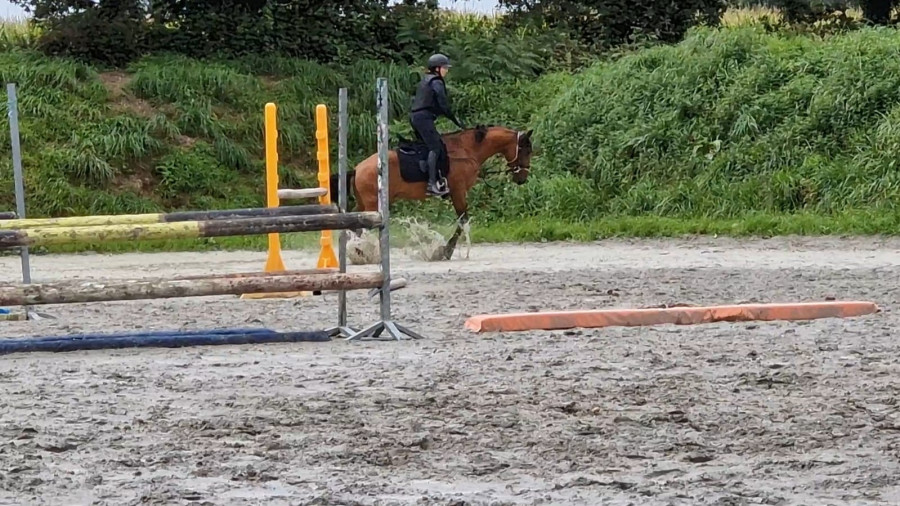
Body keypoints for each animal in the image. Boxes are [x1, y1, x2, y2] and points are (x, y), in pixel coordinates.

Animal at [331, 125, 534, 261]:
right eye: (526, 151)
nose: (522, 178)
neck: (468, 150)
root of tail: (358, 168)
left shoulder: (457, 194)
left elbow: (462, 222)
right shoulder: (458, 192)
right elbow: (463, 221)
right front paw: (447, 251)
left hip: (365, 202)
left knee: (355, 223)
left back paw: (358, 251)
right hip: (373, 203)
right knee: (362, 227)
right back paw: (363, 252)